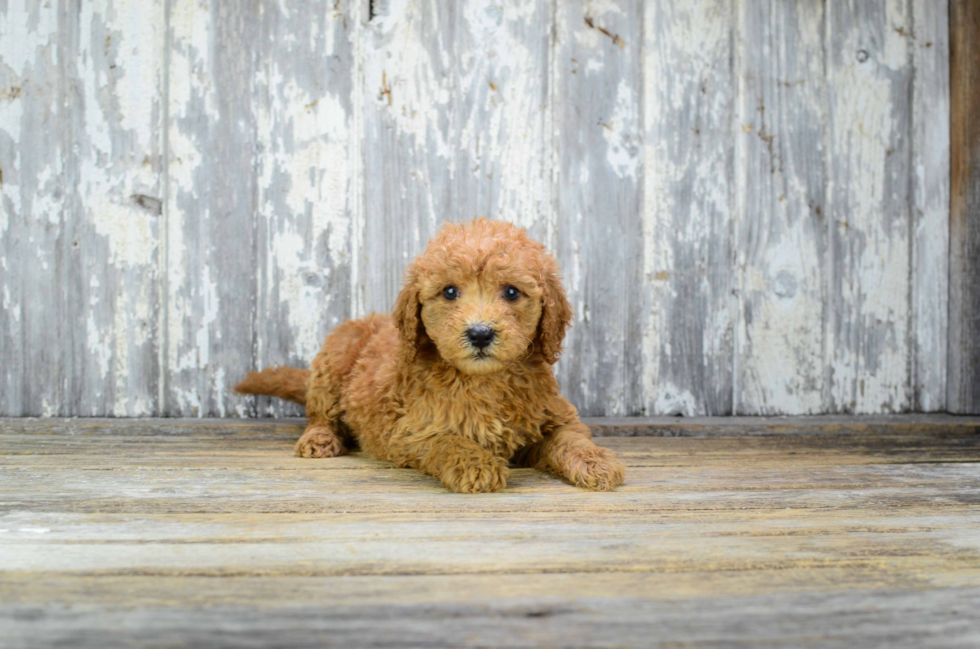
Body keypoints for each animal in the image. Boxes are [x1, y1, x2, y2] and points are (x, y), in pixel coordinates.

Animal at [234, 218, 624, 492]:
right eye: (449, 292)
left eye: (512, 292)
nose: (480, 333)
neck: (483, 381)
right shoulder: (411, 429)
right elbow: (447, 440)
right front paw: (476, 465)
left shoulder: (555, 415)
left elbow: (572, 437)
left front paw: (597, 463)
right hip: (334, 358)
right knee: (321, 412)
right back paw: (319, 439)